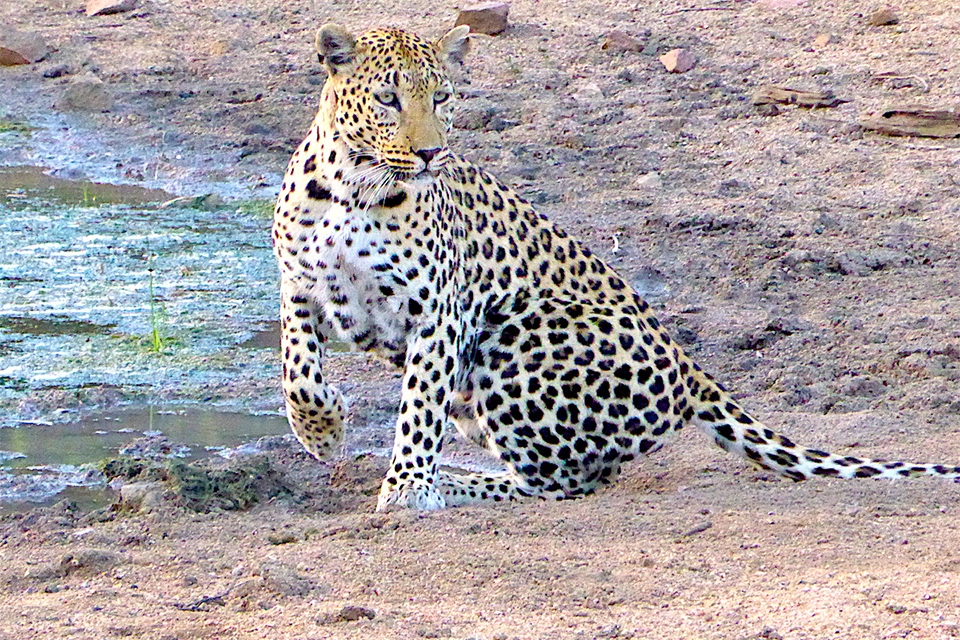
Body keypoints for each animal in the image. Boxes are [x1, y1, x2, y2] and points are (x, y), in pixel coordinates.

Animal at [272, 23, 960, 510]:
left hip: (519, 335)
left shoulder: (440, 310)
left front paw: (408, 488)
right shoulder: (299, 286)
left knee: (559, 483)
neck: (354, 190)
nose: (430, 152)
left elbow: (418, 405)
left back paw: (457, 484)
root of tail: (690, 367)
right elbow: (297, 369)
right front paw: (322, 429)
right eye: (388, 99)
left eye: (442, 97)